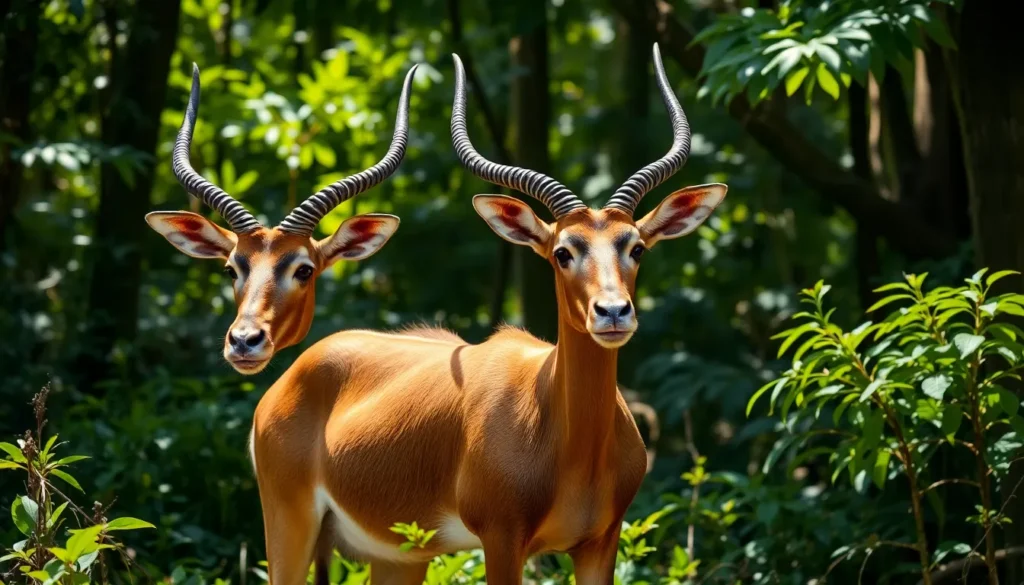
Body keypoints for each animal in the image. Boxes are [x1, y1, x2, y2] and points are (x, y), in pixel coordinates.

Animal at [251, 43, 726, 584]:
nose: (612, 312)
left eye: (636, 247)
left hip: (398, 556)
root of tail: (291, 374)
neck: (568, 444)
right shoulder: (501, 539)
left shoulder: (599, 544)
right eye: (563, 251)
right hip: (289, 524)